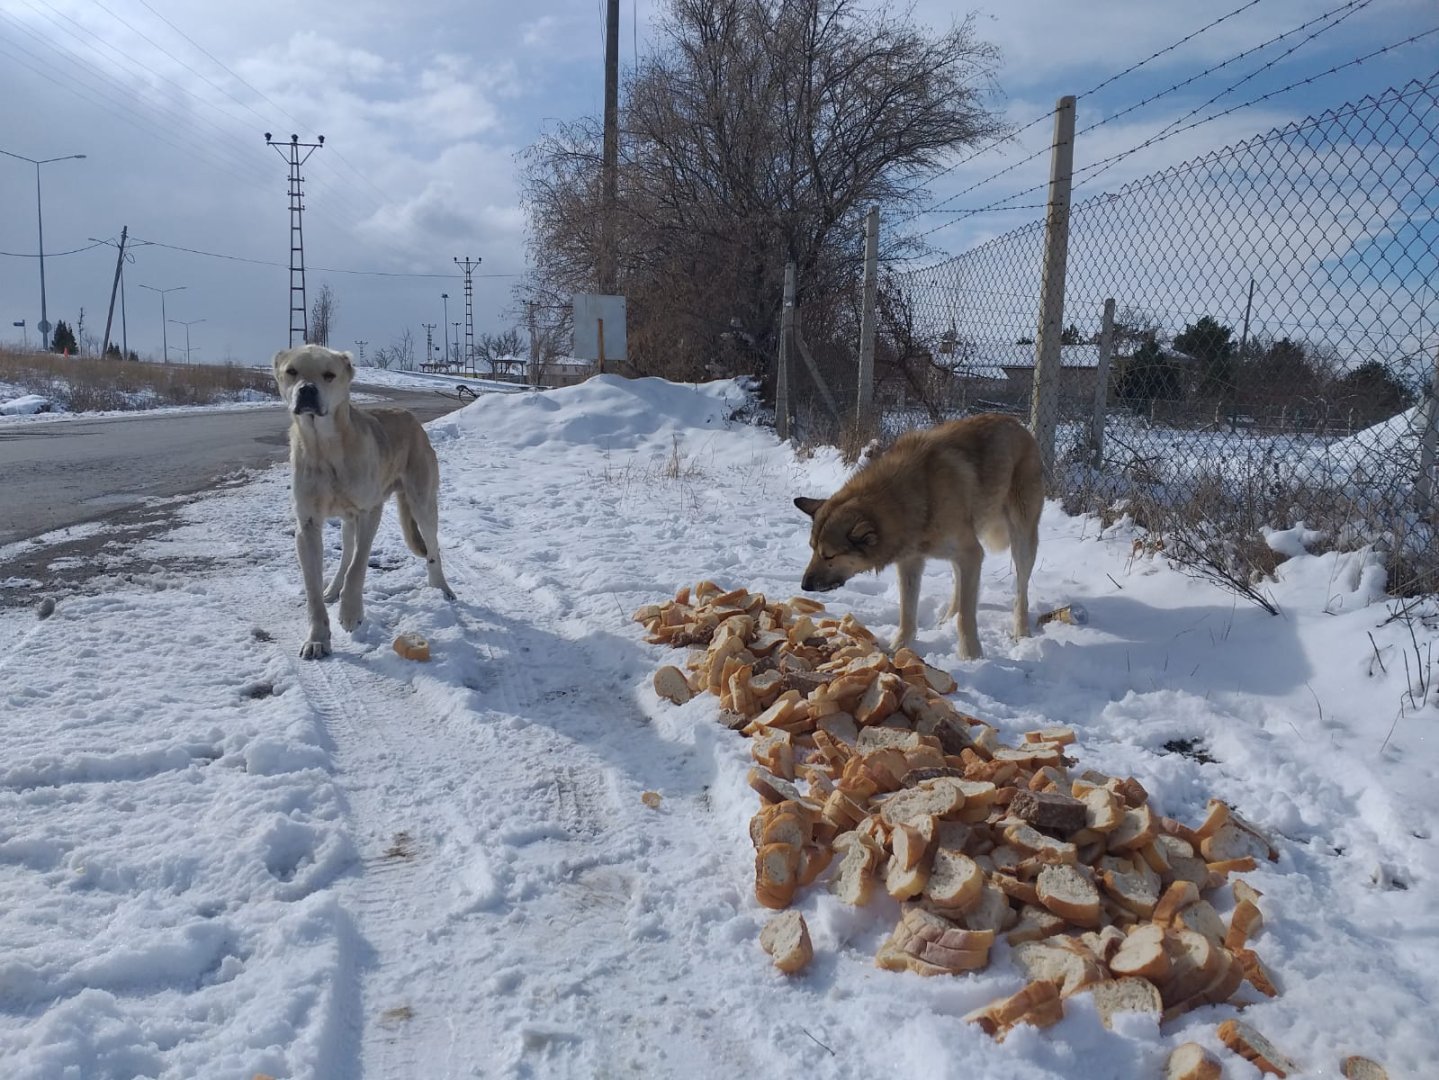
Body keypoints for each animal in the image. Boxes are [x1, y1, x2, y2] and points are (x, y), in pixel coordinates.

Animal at [273, 344, 455, 659]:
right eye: (291, 371)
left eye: (329, 374)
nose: (306, 390)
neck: (324, 448)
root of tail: (410, 417)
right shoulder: (307, 524)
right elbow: (313, 587)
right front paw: (317, 637)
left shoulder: (370, 510)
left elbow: (359, 566)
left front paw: (350, 613)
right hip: (349, 519)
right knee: (346, 552)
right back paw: (333, 589)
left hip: (422, 502)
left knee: (432, 546)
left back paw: (440, 587)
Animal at [794, 413, 1042, 660]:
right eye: (812, 549)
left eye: (829, 556)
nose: (804, 586)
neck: (918, 496)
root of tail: (1017, 424)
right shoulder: (910, 563)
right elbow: (907, 611)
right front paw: (897, 648)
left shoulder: (970, 552)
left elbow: (966, 617)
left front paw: (970, 656)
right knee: (959, 584)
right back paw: (946, 618)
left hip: (1020, 542)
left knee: (1021, 591)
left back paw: (1021, 631)